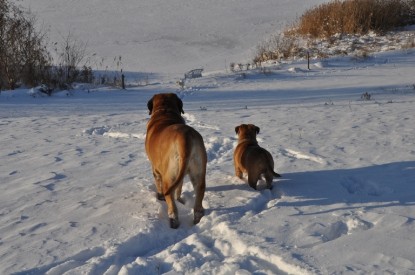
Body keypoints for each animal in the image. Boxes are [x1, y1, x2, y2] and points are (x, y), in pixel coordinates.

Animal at [145, 94, 207, 230]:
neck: (165, 110)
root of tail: (185, 138)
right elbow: (180, 186)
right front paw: (180, 199)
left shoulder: (156, 169)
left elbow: (158, 184)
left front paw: (160, 197)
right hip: (198, 171)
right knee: (199, 194)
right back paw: (197, 218)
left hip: (170, 175)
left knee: (171, 202)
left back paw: (173, 221)